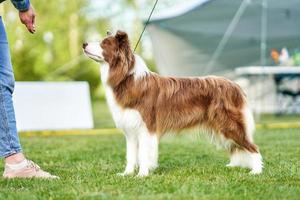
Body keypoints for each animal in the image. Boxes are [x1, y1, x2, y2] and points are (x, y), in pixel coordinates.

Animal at [82, 30, 262, 177]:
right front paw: (127, 174)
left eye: (104, 44)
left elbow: (144, 154)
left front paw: (142, 174)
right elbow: (131, 155)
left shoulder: (146, 127)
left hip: (228, 124)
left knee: (253, 147)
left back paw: (256, 171)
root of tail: (235, 85)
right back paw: (234, 165)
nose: (83, 44)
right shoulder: (131, 129)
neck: (127, 78)